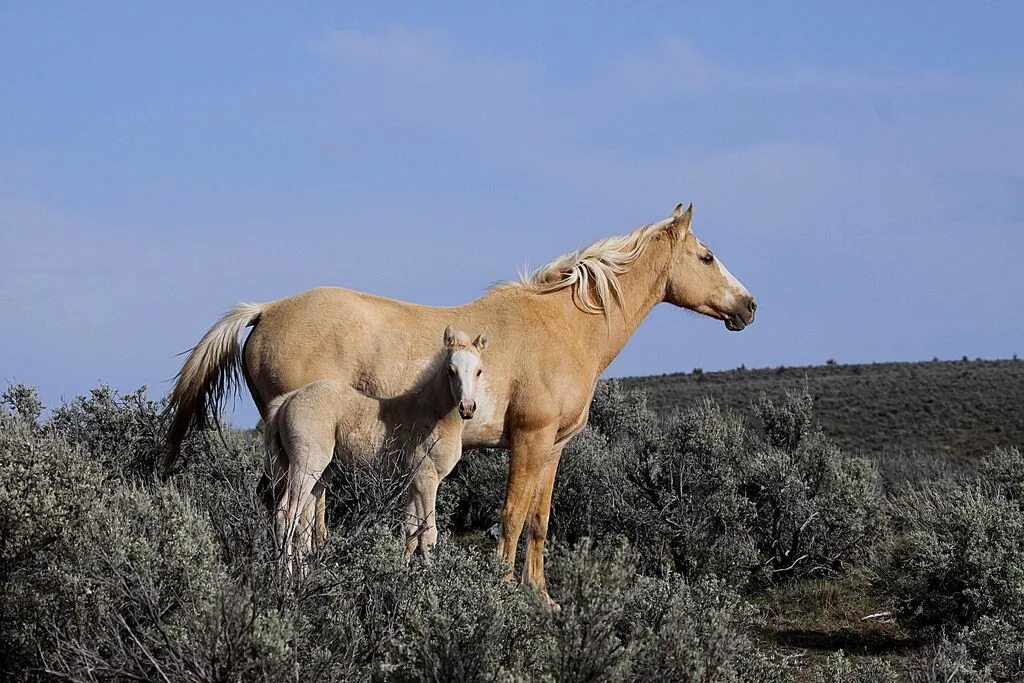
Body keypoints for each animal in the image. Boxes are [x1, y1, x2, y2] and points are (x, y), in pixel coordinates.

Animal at [264, 327, 487, 569]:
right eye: (450, 370)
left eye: (479, 371)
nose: (467, 408)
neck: (434, 415)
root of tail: (289, 399)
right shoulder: (426, 479)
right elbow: (428, 534)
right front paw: (431, 574)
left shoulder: (412, 482)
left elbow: (410, 532)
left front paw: (402, 571)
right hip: (306, 465)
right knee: (287, 514)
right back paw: (284, 576)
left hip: (321, 473)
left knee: (303, 524)